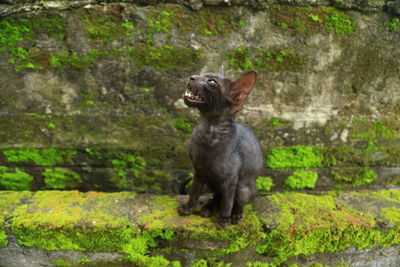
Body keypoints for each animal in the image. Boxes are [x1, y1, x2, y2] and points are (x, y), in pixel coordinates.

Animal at [178, 71, 262, 226]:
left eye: (212, 82)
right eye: (202, 75)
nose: (192, 77)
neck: (208, 131)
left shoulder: (230, 180)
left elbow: (228, 202)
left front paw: (224, 218)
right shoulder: (199, 172)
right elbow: (194, 193)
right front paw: (188, 209)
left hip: (243, 188)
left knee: (237, 201)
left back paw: (235, 214)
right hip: (212, 181)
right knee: (218, 194)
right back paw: (209, 207)